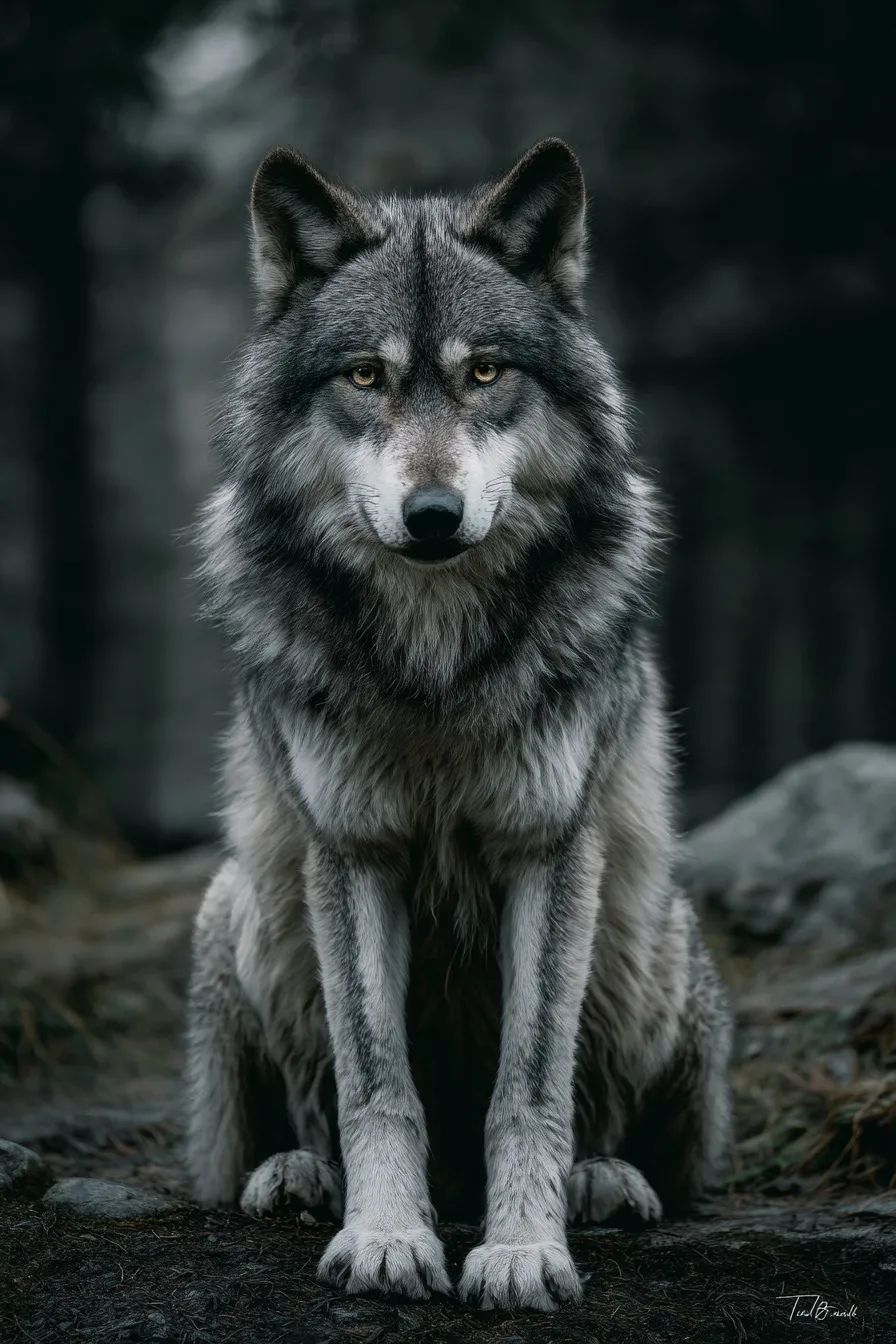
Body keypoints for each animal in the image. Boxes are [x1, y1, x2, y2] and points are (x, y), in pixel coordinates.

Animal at [184, 137, 732, 1312]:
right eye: (365, 377)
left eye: (485, 372)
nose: (431, 517)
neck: (433, 660)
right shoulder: (354, 851)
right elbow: (374, 1083)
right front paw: (388, 1235)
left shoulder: (549, 847)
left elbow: (527, 1088)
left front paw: (522, 1251)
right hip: (244, 904)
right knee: (298, 1110)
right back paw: (298, 1177)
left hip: (648, 930)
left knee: (612, 1115)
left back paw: (600, 1180)